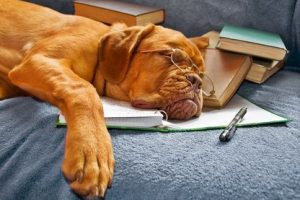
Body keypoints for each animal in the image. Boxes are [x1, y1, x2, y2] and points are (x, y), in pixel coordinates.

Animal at [0, 0, 209, 198]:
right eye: (170, 55)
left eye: (201, 74)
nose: (197, 81)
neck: (100, 51)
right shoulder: (40, 60)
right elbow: (85, 89)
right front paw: (92, 150)